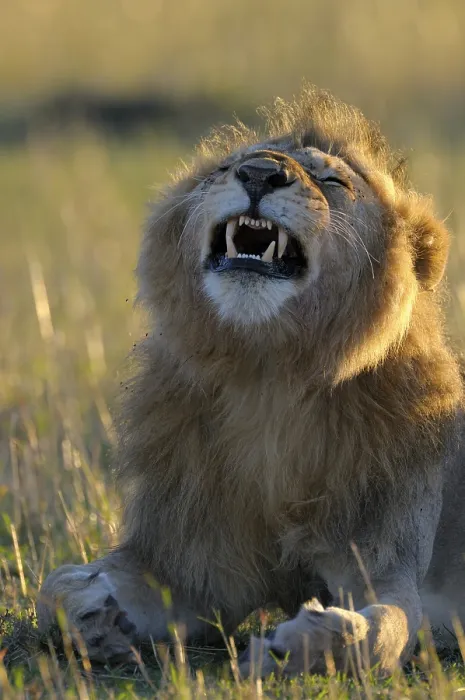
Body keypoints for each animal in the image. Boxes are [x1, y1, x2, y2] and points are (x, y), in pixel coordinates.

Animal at [38, 86, 465, 677]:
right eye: (226, 167)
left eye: (334, 182)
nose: (260, 173)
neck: (270, 377)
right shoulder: (189, 564)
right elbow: (52, 586)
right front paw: (93, 615)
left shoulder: (387, 565)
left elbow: (385, 629)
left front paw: (306, 645)